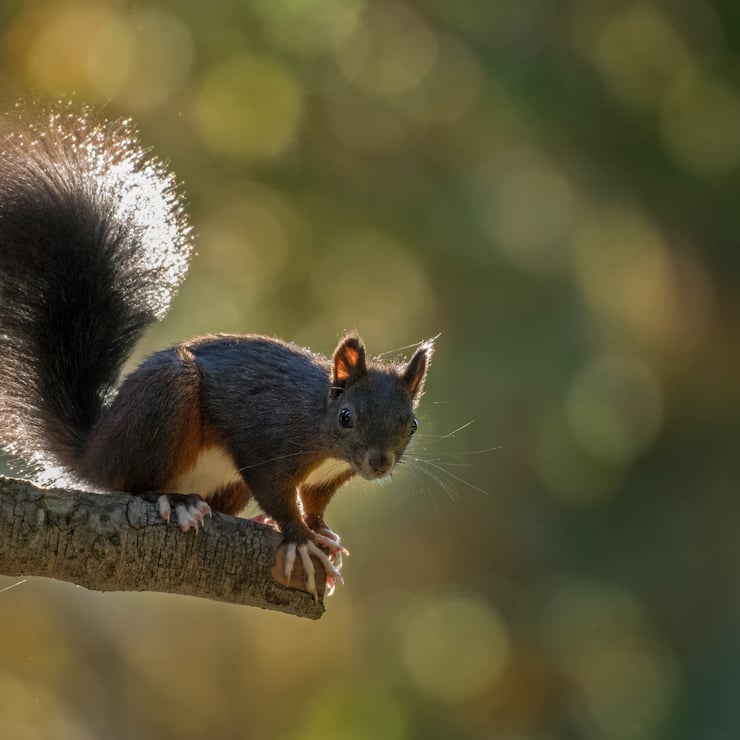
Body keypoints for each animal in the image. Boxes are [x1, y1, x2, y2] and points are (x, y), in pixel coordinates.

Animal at [0, 106, 433, 600]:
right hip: (164, 401)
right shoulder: (267, 440)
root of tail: (93, 451)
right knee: (132, 482)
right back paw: (175, 501)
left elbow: (315, 501)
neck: (319, 426)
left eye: (411, 424)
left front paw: (321, 531)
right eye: (347, 417)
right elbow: (277, 492)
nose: (379, 464)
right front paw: (300, 536)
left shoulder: (326, 479)